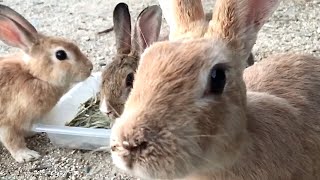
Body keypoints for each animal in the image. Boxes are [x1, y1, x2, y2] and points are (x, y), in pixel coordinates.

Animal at [0, 4, 94, 162]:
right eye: (60, 54)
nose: (90, 68)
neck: (34, 76)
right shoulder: (7, 122)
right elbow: (12, 141)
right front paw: (27, 155)